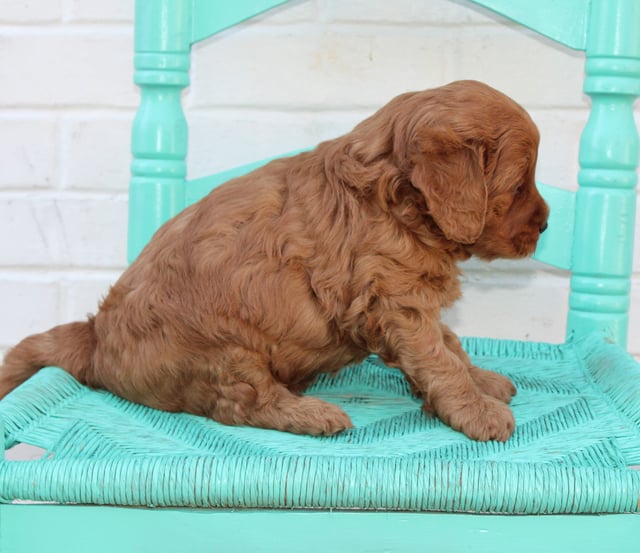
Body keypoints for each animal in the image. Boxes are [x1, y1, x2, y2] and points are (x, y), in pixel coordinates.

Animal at [0, 80, 552, 440]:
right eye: (518, 185)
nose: (546, 224)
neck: (395, 202)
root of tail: (94, 337)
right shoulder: (395, 302)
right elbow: (439, 358)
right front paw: (478, 412)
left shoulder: (409, 299)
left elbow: (450, 345)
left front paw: (483, 382)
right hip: (224, 351)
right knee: (241, 405)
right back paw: (313, 415)